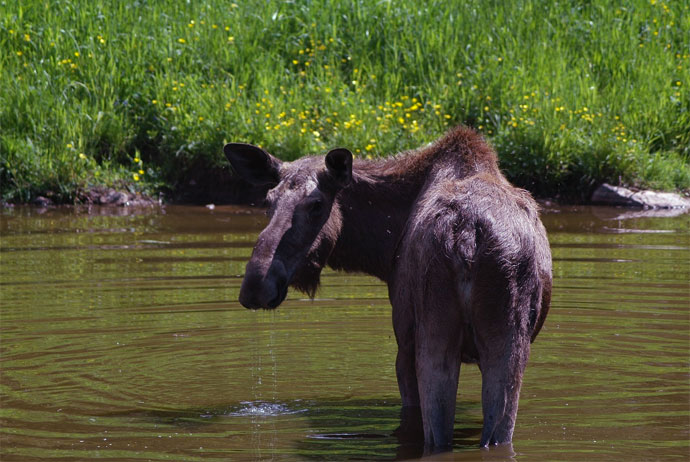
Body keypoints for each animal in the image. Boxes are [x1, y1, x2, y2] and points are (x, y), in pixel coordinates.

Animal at [223, 124, 552, 450]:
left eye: (316, 204)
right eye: (268, 202)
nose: (256, 286)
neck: (380, 250)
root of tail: (468, 235)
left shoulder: (403, 343)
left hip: (433, 335)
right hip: (506, 344)